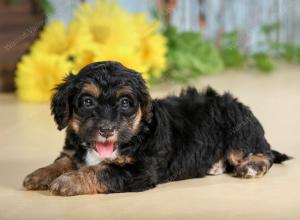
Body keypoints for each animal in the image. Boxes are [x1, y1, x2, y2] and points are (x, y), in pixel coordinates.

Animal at [22, 60, 290, 196]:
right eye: (87, 101)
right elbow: (62, 161)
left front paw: (69, 181)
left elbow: (100, 170)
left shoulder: (139, 170)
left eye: (125, 102)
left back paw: (251, 166)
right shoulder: (74, 151)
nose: (107, 130)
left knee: (263, 153)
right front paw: (40, 174)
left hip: (238, 133)